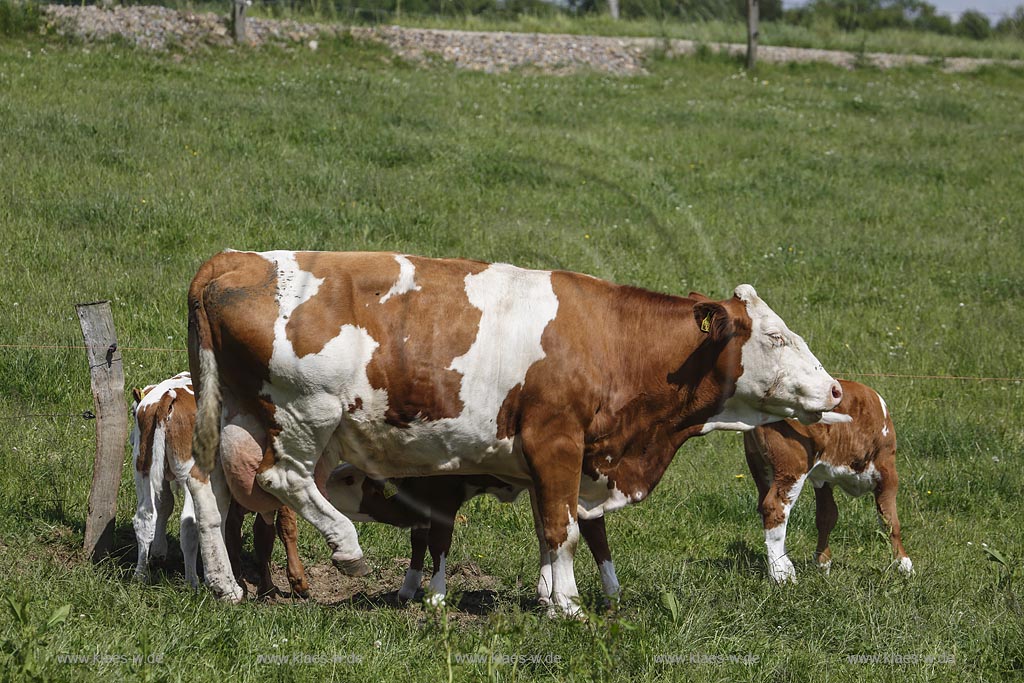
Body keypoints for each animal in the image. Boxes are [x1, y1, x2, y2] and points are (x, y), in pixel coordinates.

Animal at [130, 374, 309, 598]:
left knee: (144, 518)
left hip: (143, 467)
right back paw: (196, 583)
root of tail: (169, 395)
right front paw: (291, 583)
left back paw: (141, 576)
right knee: (190, 523)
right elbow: (278, 529)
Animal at [323, 466, 618, 606]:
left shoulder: (444, 497)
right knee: (545, 534)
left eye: (349, 479)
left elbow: (438, 542)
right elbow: (418, 540)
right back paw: (546, 591)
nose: (323, 483)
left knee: (594, 530)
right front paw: (408, 587)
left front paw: (436, 593)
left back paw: (611, 594)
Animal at [745, 378, 913, 581]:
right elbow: (890, 521)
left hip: (761, 469)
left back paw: (785, 564)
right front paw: (905, 565)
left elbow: (827, 517)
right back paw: (781, 575)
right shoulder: (887, 470)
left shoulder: (824, 479)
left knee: (766, 509)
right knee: (775, 509)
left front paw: (822, 563)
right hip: (792, 469)